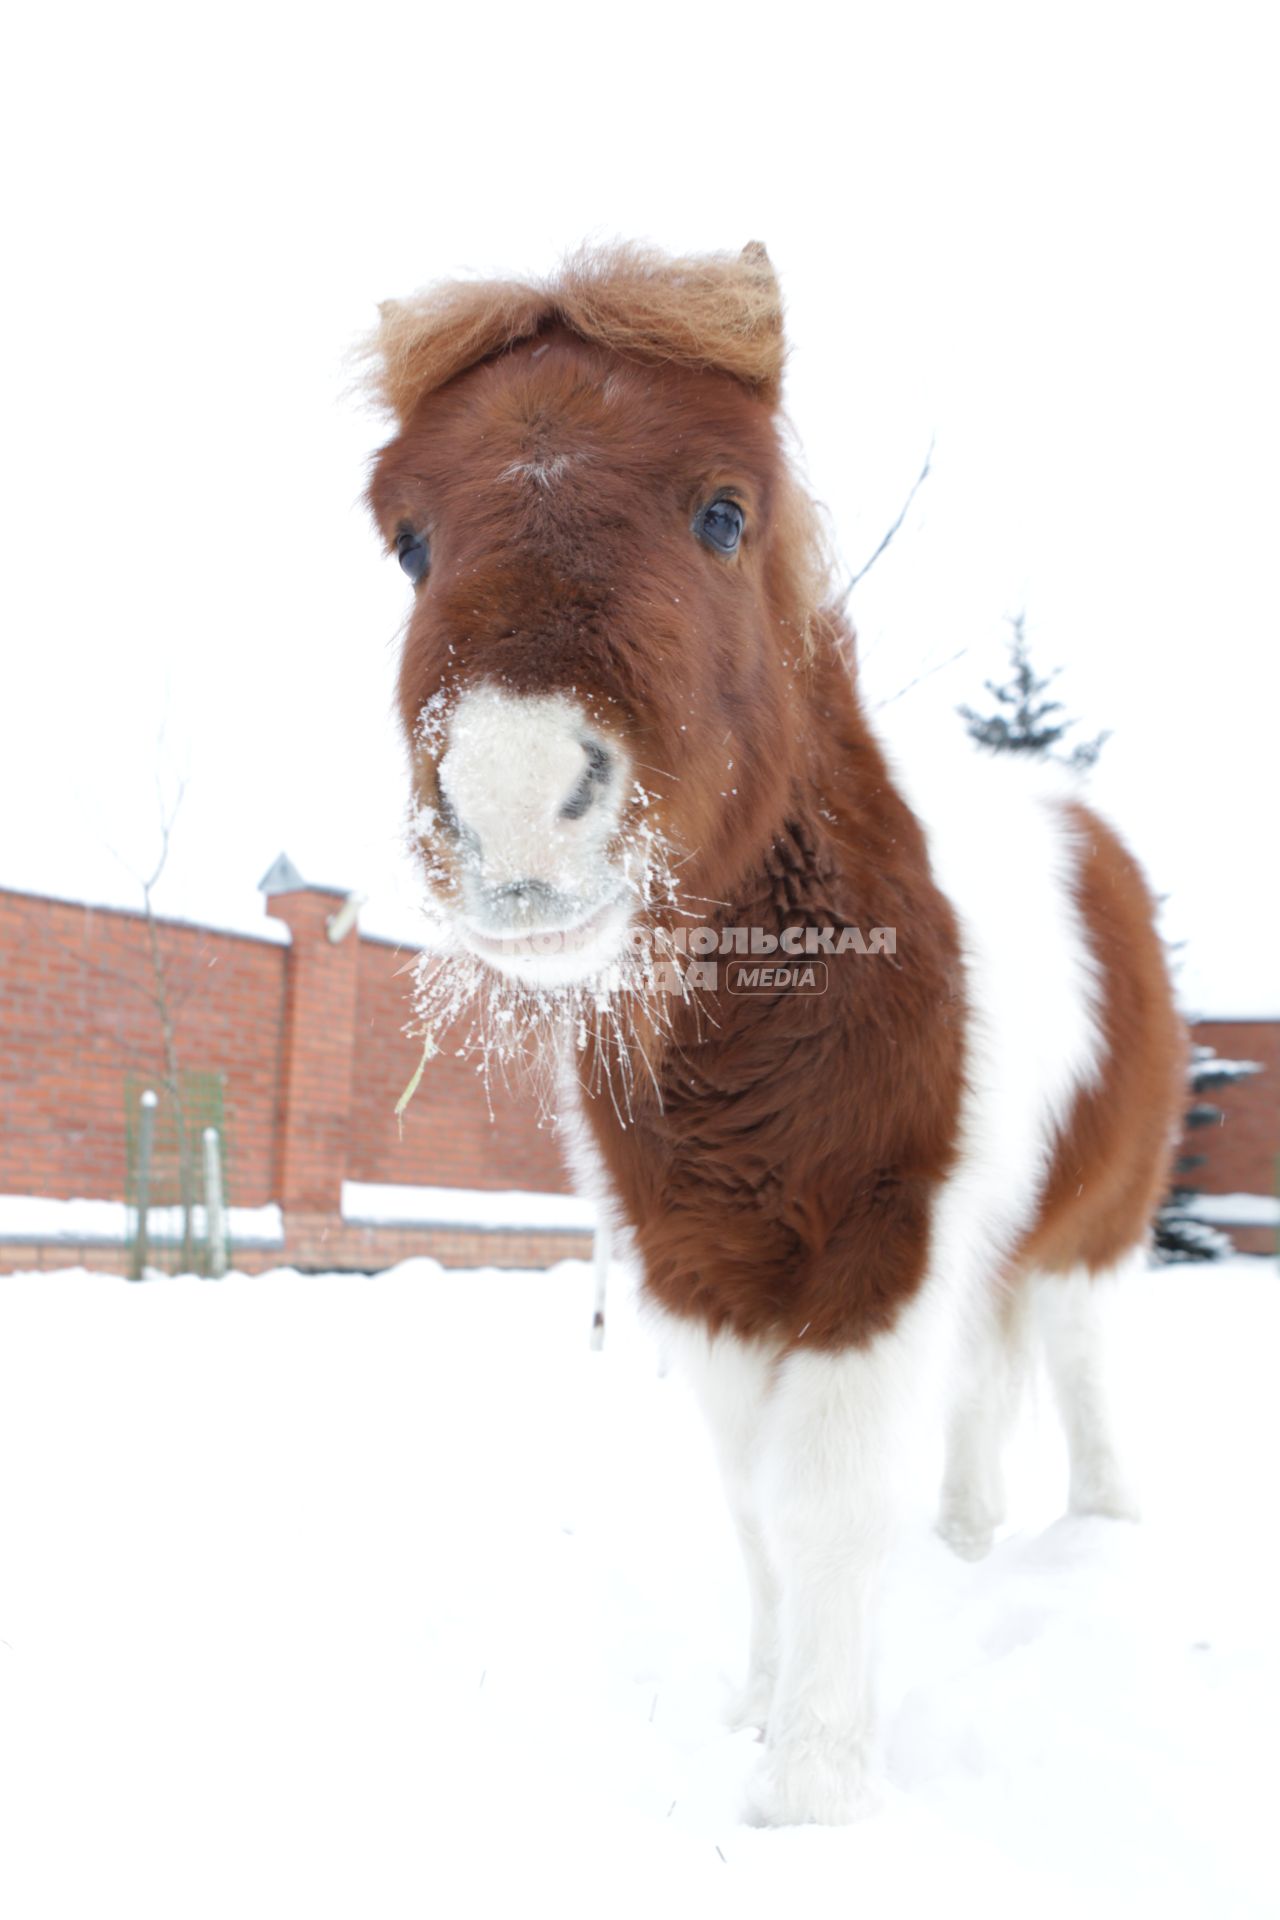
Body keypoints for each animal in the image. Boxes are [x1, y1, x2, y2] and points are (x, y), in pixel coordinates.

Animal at [358, 243, 1182, 1827]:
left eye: (723, 514)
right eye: (409, 541)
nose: (513, 800)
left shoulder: (875, 1259)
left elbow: (828, 1504)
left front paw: (813, 1791)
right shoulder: (703, 1270)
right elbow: (752, 1504)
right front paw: (754, 1709)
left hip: (1091, 1233)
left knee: (1082, 1367)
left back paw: (1106, 1544)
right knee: (984, 1391)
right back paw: (970, 1545)